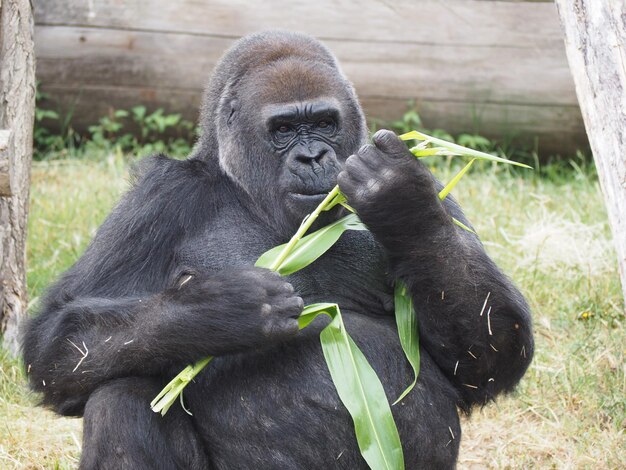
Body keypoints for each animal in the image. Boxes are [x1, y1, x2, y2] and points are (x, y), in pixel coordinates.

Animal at [23, 31, 532, 468]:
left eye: (325, 123)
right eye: (284, 129)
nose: (312, 158)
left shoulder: (437, 189)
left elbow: (487, 356)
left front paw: (401, 201)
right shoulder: (160, 198)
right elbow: (56, 342)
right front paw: (216, 313)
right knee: (121, 394)